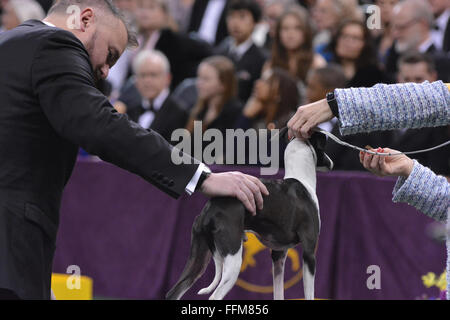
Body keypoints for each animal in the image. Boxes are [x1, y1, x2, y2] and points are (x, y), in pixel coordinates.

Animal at [167, 130, 332, 300]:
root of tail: (209, 211)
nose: (331, 163)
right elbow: (309, 294)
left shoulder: (278, 255)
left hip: (198, 260)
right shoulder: (309, 253)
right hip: (232, 260)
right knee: (215, 296)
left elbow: (278, 293)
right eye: (323, 147)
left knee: (173, 292)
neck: (302, 181)